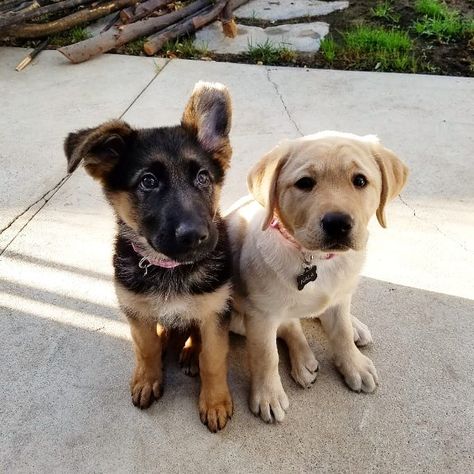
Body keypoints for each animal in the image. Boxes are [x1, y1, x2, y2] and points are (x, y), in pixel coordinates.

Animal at [63, 82, 233, 434]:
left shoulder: (216, 311)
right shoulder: (136, 311)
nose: (196, 236)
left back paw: (188, 352)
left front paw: (215, 402)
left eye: (203, 178)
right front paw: (147, 378)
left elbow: (212, 358)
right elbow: (146, 347)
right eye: (148, 182)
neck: (170, 268)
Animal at [226, 130, 408, 422]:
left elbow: (341, 332)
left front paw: (353, 364)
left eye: (360, 180)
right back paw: (304, 361)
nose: (338, 224)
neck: (314, 259)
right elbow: (266, 356)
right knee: (289, 325)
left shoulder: (339, 296)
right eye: (304, 183)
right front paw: (268, 395)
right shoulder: (261, 315)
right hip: (240, 316)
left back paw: (353, 328)